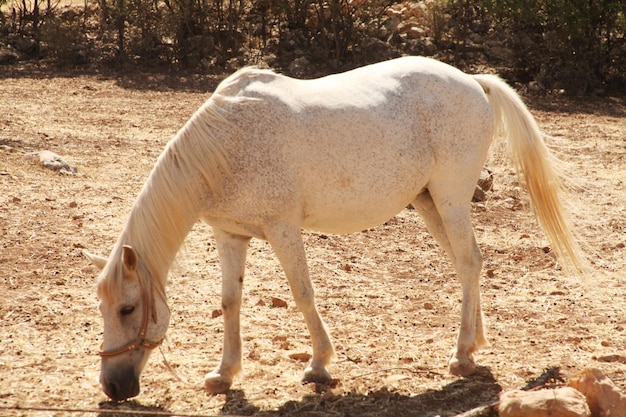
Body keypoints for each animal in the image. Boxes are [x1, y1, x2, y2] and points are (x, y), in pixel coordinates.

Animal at [83, 55, 580, 400]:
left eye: (127, 309)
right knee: (466, 264)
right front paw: (224, 374)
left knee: (471, 261)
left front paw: (319, 366)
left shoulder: (283, 230)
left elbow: (303, 293)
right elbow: (229, 302)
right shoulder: (230, 236)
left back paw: (460, 357)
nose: (113, 387)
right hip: (429, 203)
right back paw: (473, 345)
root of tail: (474, 82)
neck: (226, 145)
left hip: (450, 199)